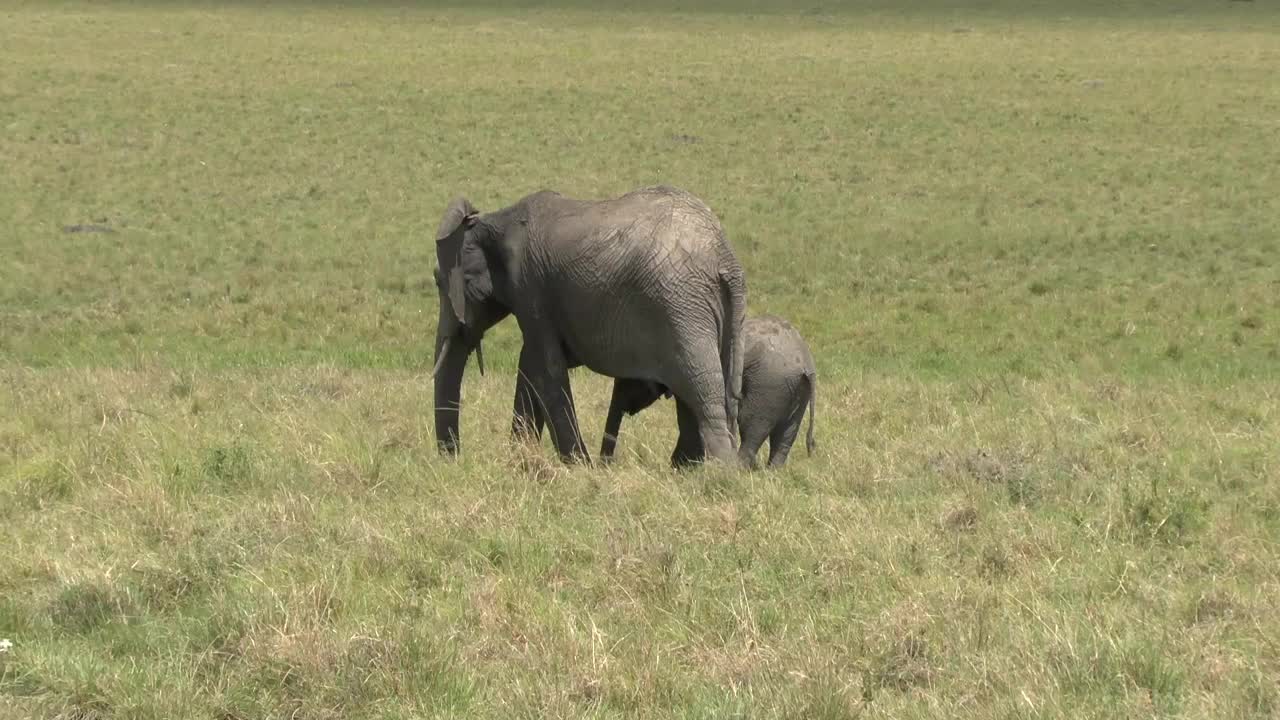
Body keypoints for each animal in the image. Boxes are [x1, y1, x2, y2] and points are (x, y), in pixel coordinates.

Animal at [432, 184, 747, 461]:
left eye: (438, 281)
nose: (455, 458)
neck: (494, 221)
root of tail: (726, 258)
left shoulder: (529, 286)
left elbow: (547, 368)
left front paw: (578, 466)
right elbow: (531, 364)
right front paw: (521, 462)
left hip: (681, 306)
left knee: (703, 393)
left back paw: (721, 473)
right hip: (716, 315)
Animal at [601, 312, 819, 466]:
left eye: (628, 379)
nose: (608, 463)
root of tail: (805, 363)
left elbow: (688, 416)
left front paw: (680, 468)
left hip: (769, 385)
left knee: (752, 425)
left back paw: (739, 468)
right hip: (795, 390)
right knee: (786, 434)